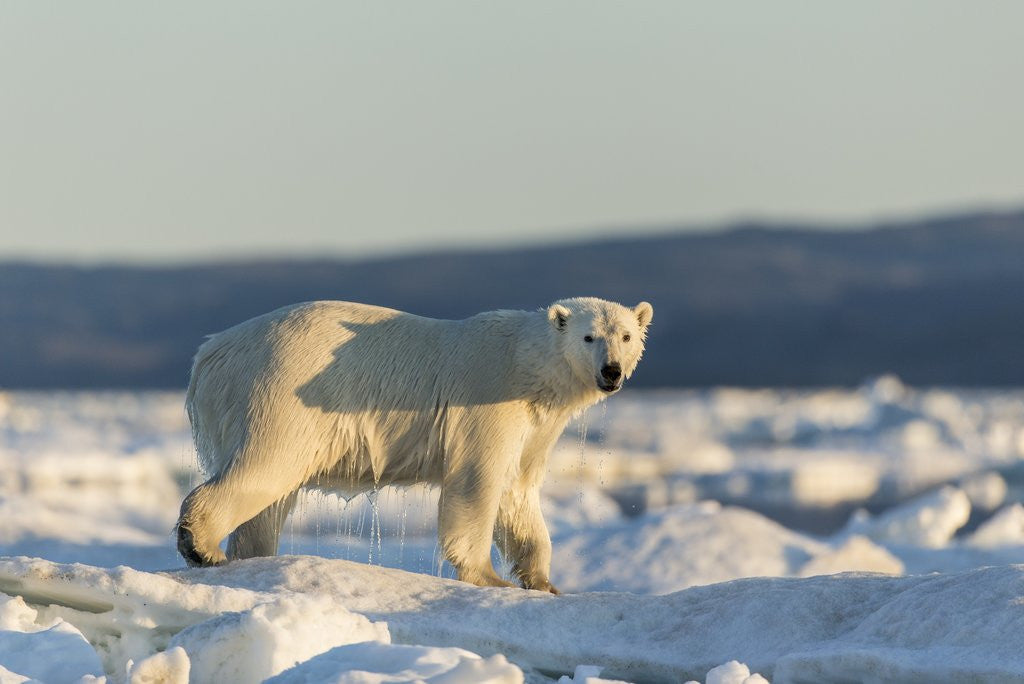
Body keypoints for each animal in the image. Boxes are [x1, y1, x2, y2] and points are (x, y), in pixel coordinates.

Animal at [176, 297, 652, 591]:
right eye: (590, 336)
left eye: (626, 336)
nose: (611, 371)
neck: (526, 363)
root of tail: (209, 354)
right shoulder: (489, 399)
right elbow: (477, 481)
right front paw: (489, 577)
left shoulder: (537, 425)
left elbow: (517, 493)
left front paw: (545, 582)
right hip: (281, 391)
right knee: (265, 467)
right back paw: (201, 545)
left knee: (269, 501)